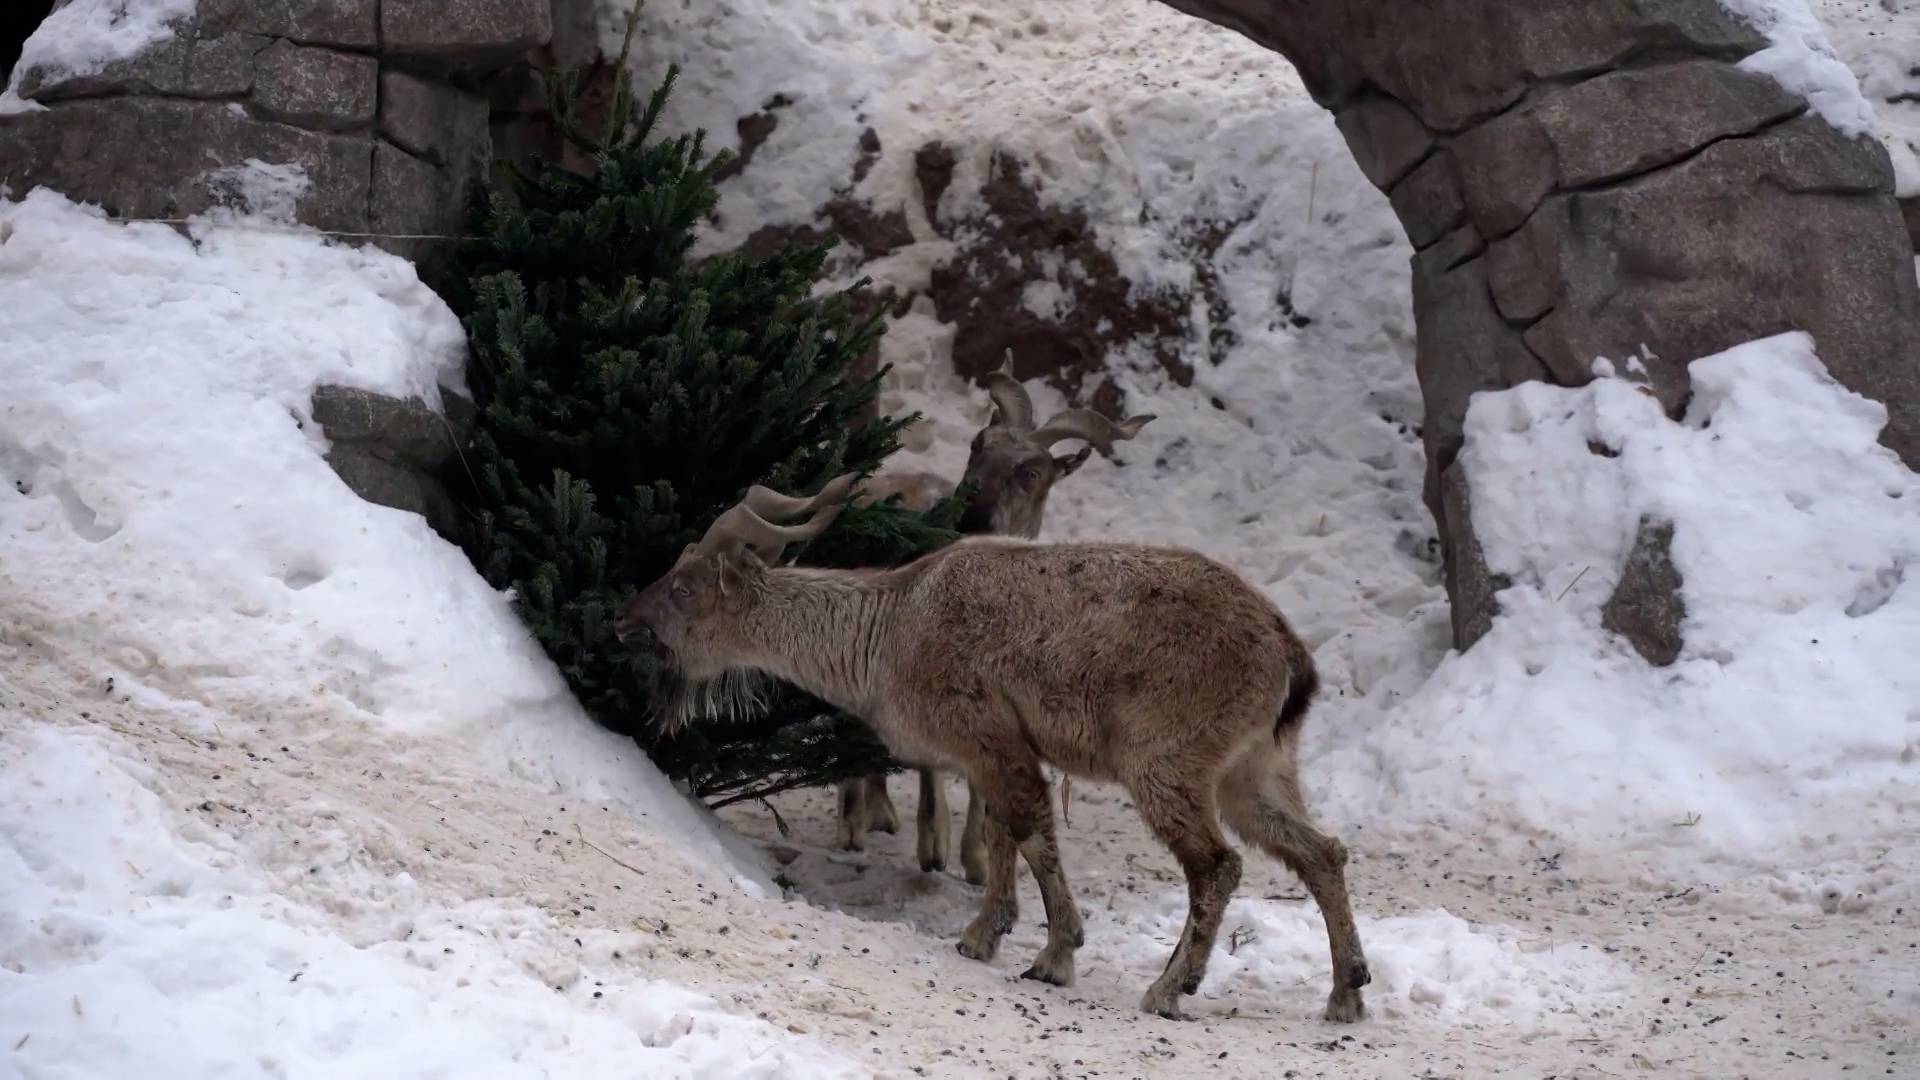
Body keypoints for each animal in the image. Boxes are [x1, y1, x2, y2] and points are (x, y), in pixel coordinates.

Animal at [614, 474, 1367, 1014]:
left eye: (683, 588)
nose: (623, 619)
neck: (886, 631)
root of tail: (1291, 658)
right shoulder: (993, 753)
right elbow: (1007, 834)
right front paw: (985, 933)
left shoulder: (990, 735)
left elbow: (1032, 832)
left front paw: (1053, 956)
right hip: (1253, 771)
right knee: (1321, 851)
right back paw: (1346, 991)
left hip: (1165, 764)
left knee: (1218, 865)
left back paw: (1167, 989)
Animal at [833, 357, 1144, 880]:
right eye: (979, 443)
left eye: (1032, 471)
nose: (973, 513)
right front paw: (934, 845)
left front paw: (977, 859)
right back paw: (854, 822)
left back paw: (881, 813)